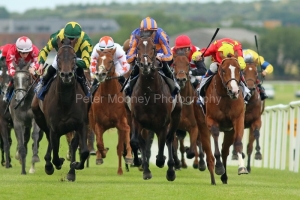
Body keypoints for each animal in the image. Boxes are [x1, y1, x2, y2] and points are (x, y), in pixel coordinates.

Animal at [32, 37, 90, 181]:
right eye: (58, 57)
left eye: (74, 57)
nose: (66, 75)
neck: (65, 101)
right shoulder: (54, 127)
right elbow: (55, 154)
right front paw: (55, 164)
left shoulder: (81, 124)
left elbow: (84, 151)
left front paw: (75, 166)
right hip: (39, 117)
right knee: (49, 141)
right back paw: (48, 165)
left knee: (73, 144)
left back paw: (71, 172)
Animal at [127, 34, 182, 181]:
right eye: (138, 48)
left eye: (153, 47)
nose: (145, 65)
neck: (149, 93)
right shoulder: (136, 119)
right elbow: (136, 141)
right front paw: (142, 166)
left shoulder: (163, 123)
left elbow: (163, 143)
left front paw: (161, 161)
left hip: (175, 117)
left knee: (169, 139)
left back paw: (170, 170)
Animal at [171, 51, 218, 184]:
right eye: (174, 64)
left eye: (188, 64)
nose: (181, 79)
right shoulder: (174, 127)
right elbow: (175, 147)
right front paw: (177, 163)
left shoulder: (194, 126)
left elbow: (192, 150)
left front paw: (195, 158)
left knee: (198, 144)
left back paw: (200, 163)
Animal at [204, 55, 248, 184]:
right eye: (223, 71)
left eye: (239, 70)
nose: (234, 91)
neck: (225, 97)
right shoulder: (211, 120)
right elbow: (215, 136)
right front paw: (219, 167)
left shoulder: (238, 119)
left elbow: (238, 142)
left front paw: (242, 167)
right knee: (208, 152)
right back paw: (214, 178)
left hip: (229, 132)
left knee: (225, 150)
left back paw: (224, 177)